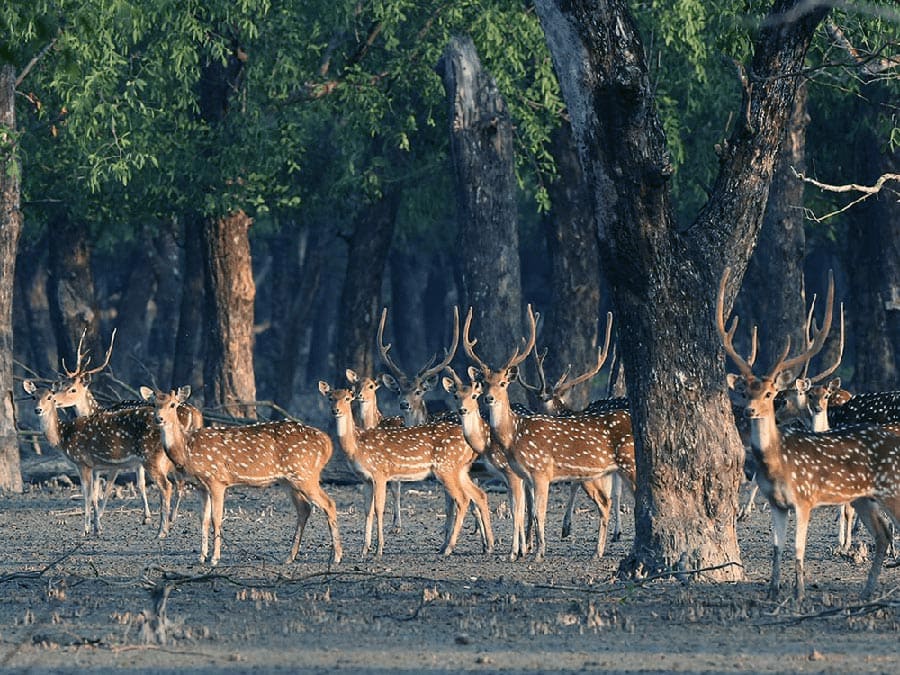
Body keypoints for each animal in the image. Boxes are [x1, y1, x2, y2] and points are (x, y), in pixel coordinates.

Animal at [142, 386, 342, 564]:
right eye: (153, 403)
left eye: (173, 404)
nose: (159, 418)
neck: (187, 450)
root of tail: (327, 444)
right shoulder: (201, 486)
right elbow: (203, 520)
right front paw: (201, 557)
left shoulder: (217, 480)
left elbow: (216, 518)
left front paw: (214, 558)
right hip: (289, 480)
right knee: (304, 509)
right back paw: (289, 557)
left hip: (305, 474)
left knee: (329, 504)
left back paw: (337, 557)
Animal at [320, 380, 496, 560]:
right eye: (330, 397)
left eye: (348, 398)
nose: (336, 410)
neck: (356, 445)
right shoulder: (365, 479)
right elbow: (367, 511)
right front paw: (364, 549)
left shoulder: (380, 473)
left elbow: (379, 509)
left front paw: (379, 549)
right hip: (459, 470)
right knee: (479, 495)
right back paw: (488, 546)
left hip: (446, 468)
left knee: (462, 499)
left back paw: (449, 548)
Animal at [464, 304, 632, 560]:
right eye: (483, 383)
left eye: (503, 383)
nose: (488, 398)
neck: (514, 435)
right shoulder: (524, 475)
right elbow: (521, 510)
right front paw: (516, 552)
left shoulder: (541, 471)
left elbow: (538, 512)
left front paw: (538, 551)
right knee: (607, 501)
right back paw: (598, 550)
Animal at [716, 266, 900, 600]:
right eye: (747, 391)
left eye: (773, 394)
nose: (749, 411)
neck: (777, 466)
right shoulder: (778, 504)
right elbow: (777, 548)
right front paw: (773, 591)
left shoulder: (804, 499)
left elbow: (798, 548)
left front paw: (799, 593)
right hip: (866, 497)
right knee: (881, 534)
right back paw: (867, 591)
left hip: (891, 489)